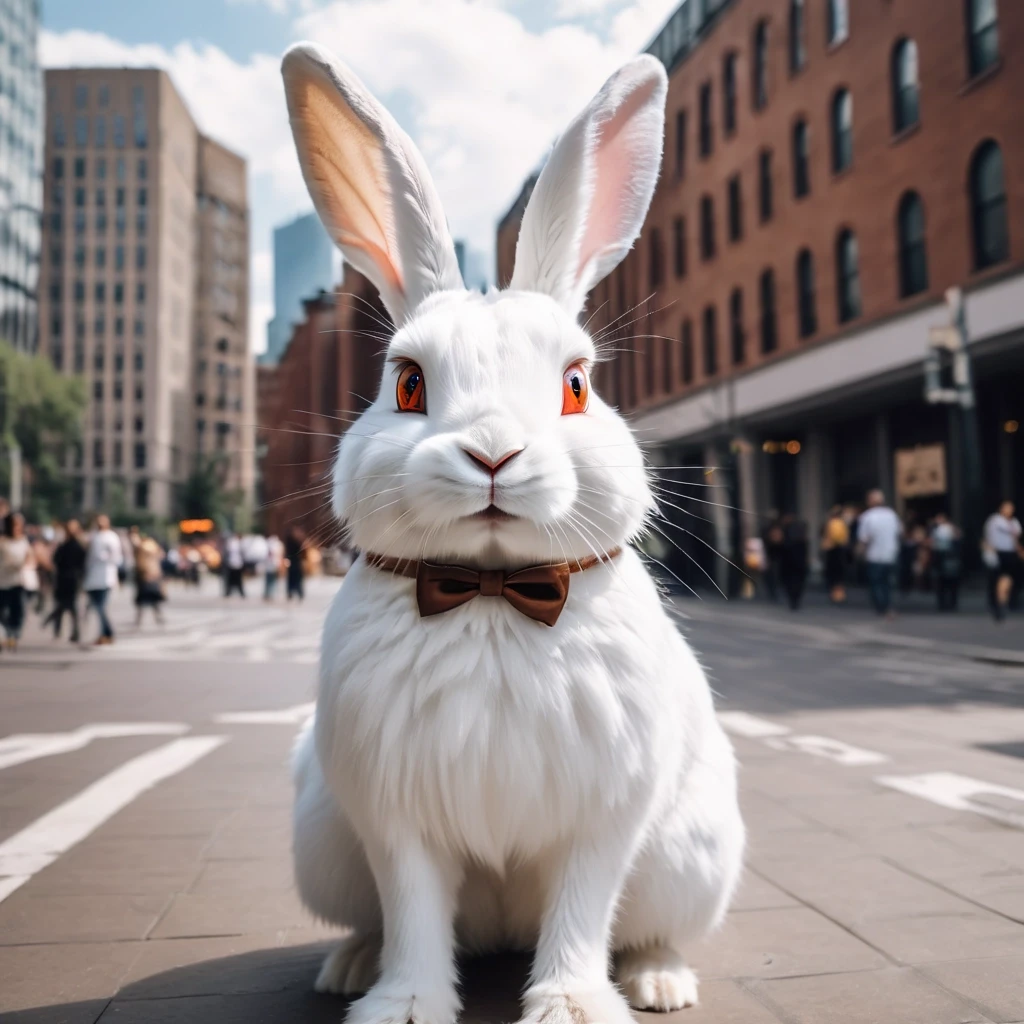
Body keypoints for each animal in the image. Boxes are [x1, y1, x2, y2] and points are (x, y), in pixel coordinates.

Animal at [283, 41, 745, 1024]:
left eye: (577, 384)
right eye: (407, 383)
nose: (493, 451)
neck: (493, 592)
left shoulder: (603, 815)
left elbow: (582, 905)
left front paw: (571, 1006)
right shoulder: (395, 818)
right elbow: (413, 908)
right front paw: (403, 1007)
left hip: (691, 852)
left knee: (649, 925)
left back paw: (660, 983)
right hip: (323, 838)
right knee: (377, 918)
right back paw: (350, 968)